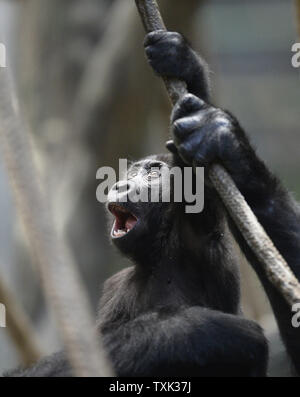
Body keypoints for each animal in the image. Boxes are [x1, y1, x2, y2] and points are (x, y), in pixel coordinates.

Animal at [6, 32, 300, 376]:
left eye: (153, 172)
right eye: (131, 171)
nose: (121, 184)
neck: (156, 253)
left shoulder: (197, 227)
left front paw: (220, 137)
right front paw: (181, 62)